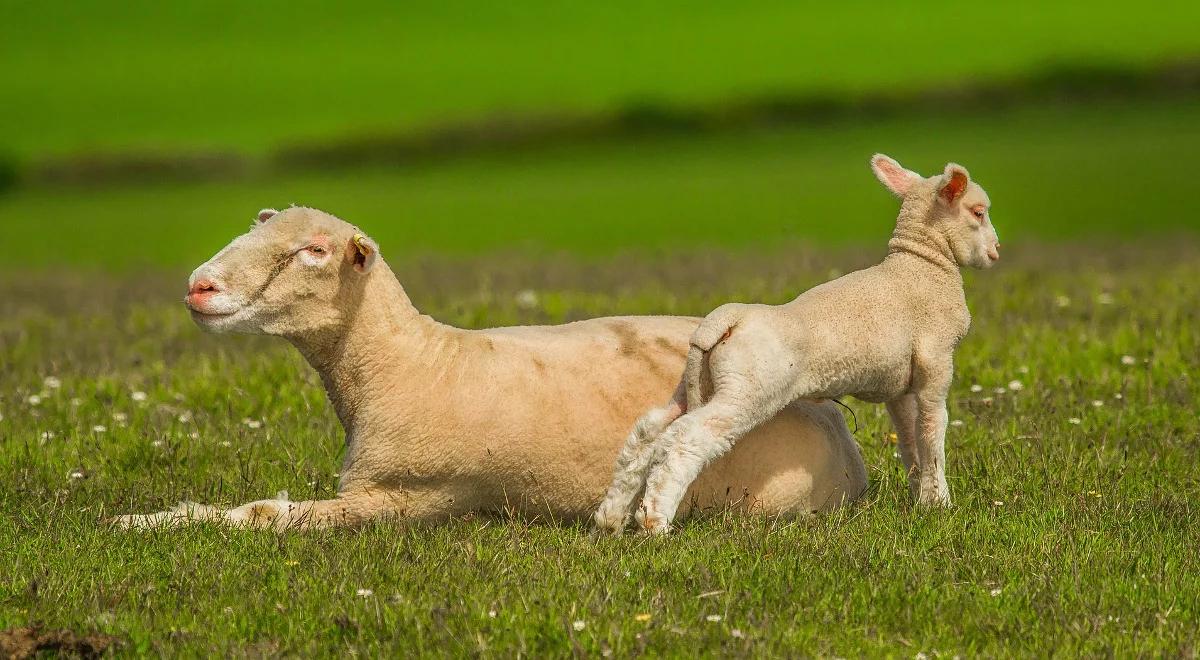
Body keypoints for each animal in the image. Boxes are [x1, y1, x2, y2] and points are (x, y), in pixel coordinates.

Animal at [112, 206, 868, 532]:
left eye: (315, 251)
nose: (200, 286)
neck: (409, 362)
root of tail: (842, 435)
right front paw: (153, 517)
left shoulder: (408, 498)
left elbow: (265, 515)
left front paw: (155, 523)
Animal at [595, 156, 998, 537]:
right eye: (978, 212)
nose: (996, 251)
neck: (923, 265)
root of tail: (726, 319)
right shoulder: (936, 363)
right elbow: (932, 432)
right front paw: (941, 504)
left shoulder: (898, 386)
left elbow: (910, 440)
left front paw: (921, 500)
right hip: (748, 390)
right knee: (687, 437)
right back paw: (655, 522)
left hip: (698, 383)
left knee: (650, 432)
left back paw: (611, 518)